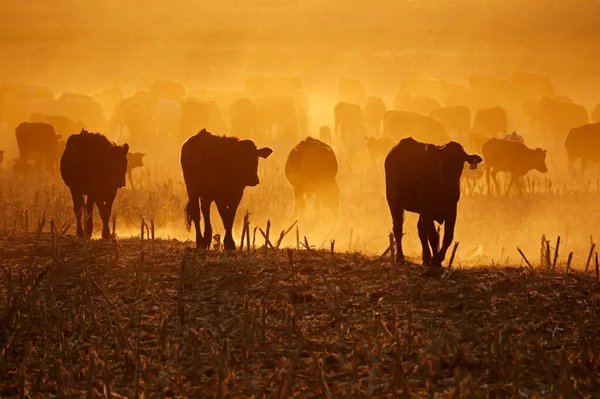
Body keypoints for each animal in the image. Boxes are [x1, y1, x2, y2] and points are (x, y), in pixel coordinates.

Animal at [384, 139, 482, 268]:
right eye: (443, 161)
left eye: (460, 161)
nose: (451, 181)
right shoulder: (427, 211)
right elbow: (433, 236)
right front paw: (435, 260)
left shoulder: (452, 211)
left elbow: (448, 237)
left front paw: (437, 258)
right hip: (394, 202)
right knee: (398, 228)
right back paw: (400, 257)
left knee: (420, 229)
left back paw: (426, 258)